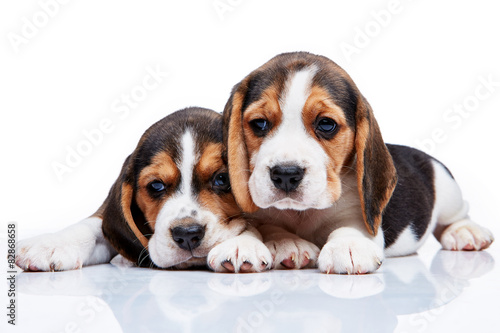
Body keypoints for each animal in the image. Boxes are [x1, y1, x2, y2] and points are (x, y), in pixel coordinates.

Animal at [16, 106, 274, 272]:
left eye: (222, 179)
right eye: (156, 185)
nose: (187, 235)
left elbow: (253, 224)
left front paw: (242, 244)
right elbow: (91, 227)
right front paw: (50, 245)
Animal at [224, 52, 496, 274]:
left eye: (326, 124)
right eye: (259, 123)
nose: (286, 174)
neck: (301, 213)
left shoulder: (359, 214)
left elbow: (349, 227)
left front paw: (348, 246)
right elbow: (268, 226)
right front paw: (282, 240)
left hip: (448, 188)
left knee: (457, 215)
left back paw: (465, 232)